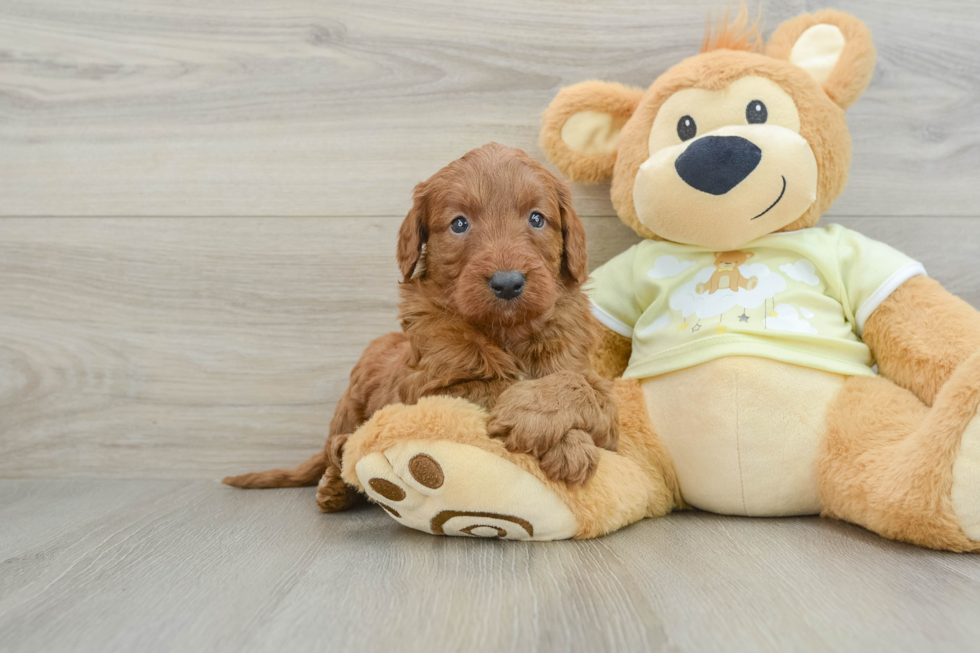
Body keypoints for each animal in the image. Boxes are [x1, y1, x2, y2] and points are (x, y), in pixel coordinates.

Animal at [226, 144, 616, 516]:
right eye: (459, 224)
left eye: (537, 218)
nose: (507, 283)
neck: (506, 333)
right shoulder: (426, 389)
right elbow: (491, 384)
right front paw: (561, 439)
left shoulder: (600, 399)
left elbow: (586, 388)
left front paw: (549, 423)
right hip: (351, 403)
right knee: (341, 449)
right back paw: (335, 483)